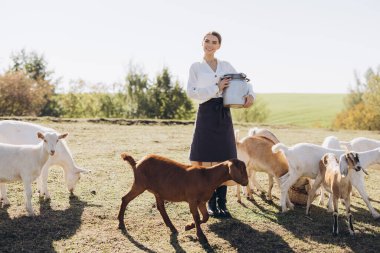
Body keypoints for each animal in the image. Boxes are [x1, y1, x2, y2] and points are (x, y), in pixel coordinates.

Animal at [119, 152, 249, 243]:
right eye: (242, 169)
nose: (246, 182)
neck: (207, 177)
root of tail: (136, 163)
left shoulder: (201, 201)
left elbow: (205, 217)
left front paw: (188, 226)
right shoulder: (192, 199)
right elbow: (196, 216)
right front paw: (201, 236)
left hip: (157, 191)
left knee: (161, 207)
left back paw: (172, 227)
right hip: (139, 184)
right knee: (125, 199)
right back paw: (121, 223)